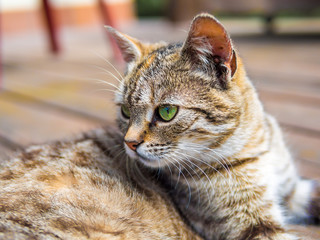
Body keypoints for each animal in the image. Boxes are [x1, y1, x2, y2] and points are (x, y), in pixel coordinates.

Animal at [107, 13, 320, 240]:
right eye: (125, 111)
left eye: (166, 111)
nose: (129, 142)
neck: (256, 148)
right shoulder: (255, 227)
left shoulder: (293, 190)